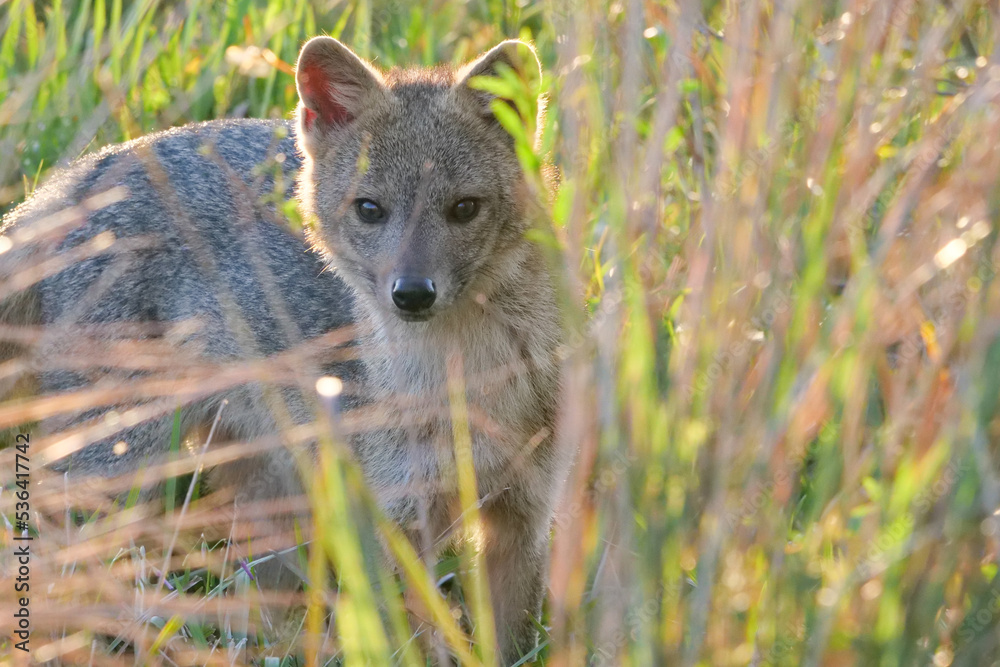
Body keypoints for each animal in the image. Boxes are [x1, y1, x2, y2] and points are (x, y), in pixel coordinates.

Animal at [0, 37, 569, 664]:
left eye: (464, 208)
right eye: (369, 209)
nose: (412, 293)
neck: (467, 384)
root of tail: (76, 177)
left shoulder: (524, 517)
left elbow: (510, 643)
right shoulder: (398, 520)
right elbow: (412, 639)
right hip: (118, 478)